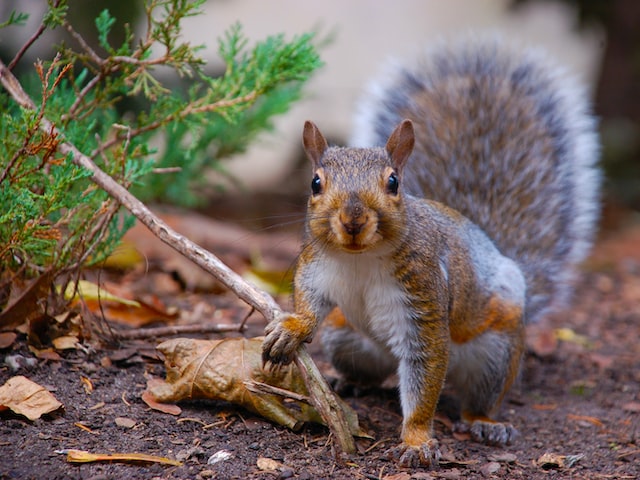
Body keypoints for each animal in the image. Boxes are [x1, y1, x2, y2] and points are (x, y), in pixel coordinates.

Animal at [260, 37, 600, 468]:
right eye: (315, 183)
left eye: (393, 183)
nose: (353, 219)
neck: (360, 259)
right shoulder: (315, 265)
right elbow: (308, 301)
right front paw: (292, 329)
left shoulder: (424, 297)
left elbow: (425, 377)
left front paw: (417, 440)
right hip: (345, 337)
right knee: (368, 368)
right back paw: (348, 381)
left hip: (497, 350)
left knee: (475, 394)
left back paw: (485, 422)